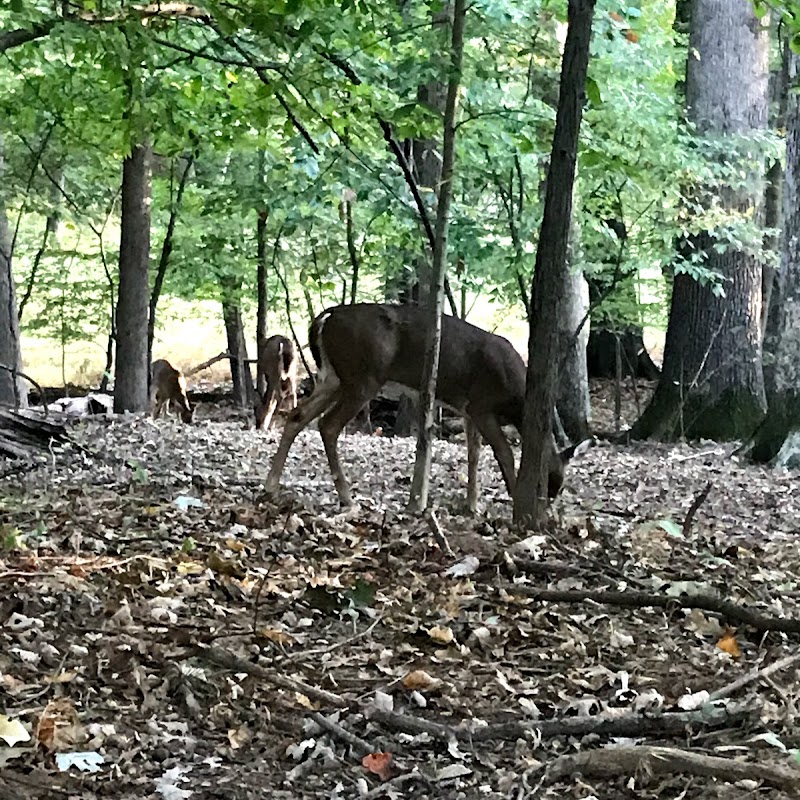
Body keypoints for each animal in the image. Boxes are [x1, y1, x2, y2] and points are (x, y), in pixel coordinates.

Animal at [266, 304, 584, 510]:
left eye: (560, 485)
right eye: (550, 481)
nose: (549, 507)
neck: (517, 398)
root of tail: (327, 317)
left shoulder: (468, 410)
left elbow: (474, 454)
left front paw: (473, 505)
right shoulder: (482, 406)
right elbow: (503, 453)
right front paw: (514, 496)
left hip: (334, 376)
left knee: (297, 416)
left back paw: (271, 485)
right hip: (363, 376)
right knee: (328, 425)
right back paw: (346, 497)